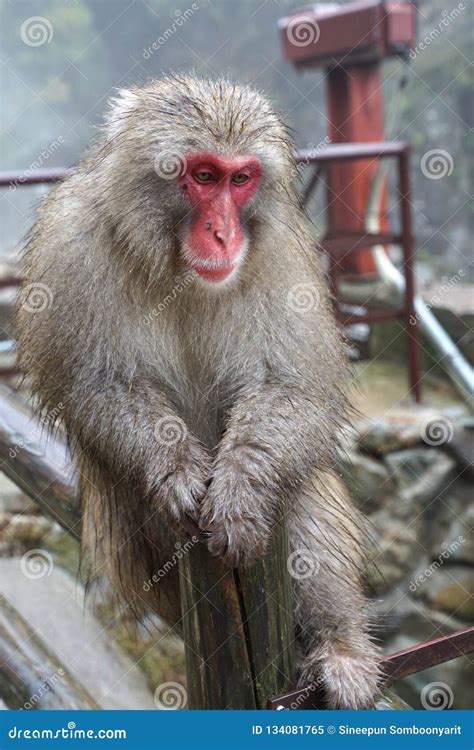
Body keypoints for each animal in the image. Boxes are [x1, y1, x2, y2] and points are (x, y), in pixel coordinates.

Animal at [16, 75, 382, 712]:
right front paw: (176, 470)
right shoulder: (72, 241)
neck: (176, 270)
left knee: (299, 488)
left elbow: (294, 388)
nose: (223, 232)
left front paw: (240, 487)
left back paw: (339, 646)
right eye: (204, 175)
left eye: (241, 179)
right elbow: (96, 385)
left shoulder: (282, 253)